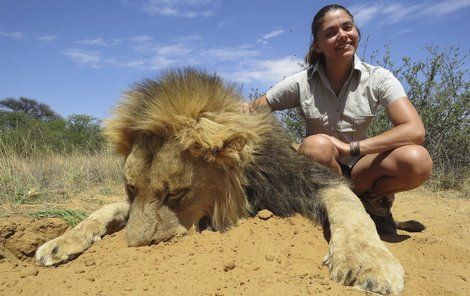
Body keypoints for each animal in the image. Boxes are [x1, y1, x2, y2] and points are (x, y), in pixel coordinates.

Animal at [35, 69, 404, 294]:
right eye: (130, 188)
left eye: (176, 194)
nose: (135, 248)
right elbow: (107, 208)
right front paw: (59, 243)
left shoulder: (303, 178)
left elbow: (348, 204)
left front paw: (366, 263)